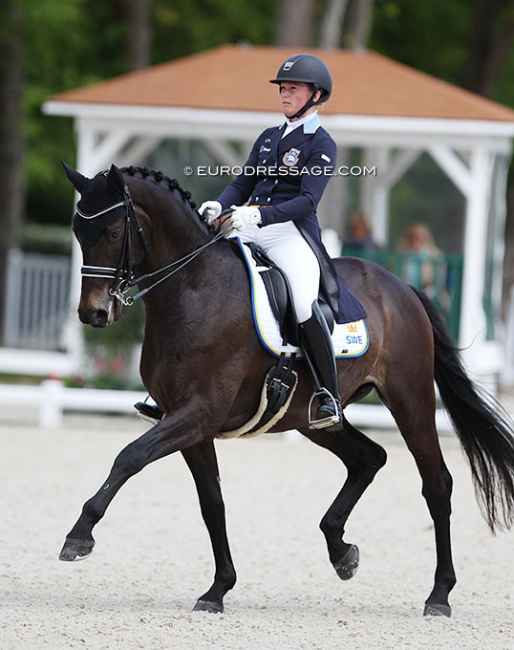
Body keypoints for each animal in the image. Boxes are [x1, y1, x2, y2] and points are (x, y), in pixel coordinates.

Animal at [60, 163, 512, 616]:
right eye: (78, 232)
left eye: (113, 232)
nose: (92, 313)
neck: (194, 288)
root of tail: (403, 288)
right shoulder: (189, 424)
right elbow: (213, 503)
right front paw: (218, 589)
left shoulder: (199, 413)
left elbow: (129, 456)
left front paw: (79, 535)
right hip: (311, 418)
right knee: (369, 458)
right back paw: (341, 552)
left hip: (411, 400)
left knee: (436, 483)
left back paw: (439, 594)